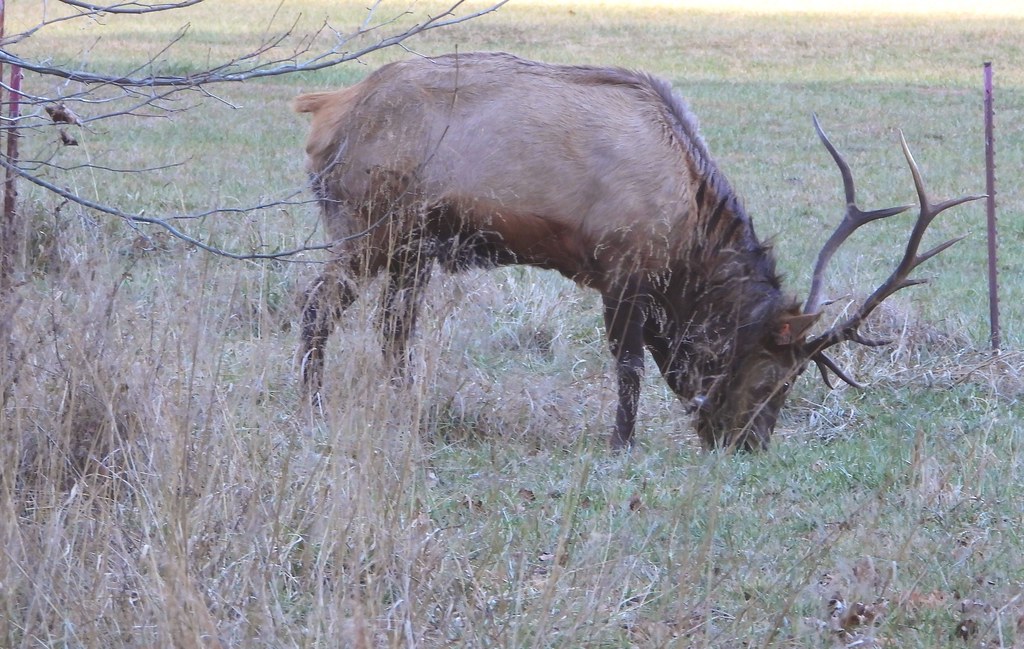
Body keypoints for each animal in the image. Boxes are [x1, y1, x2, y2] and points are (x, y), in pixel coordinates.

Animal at [293, 52, 981, 451]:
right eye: (772, 376)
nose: (748, 444)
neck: (685, 242)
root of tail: (326, 112)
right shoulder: (622, 267)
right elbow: (628, 367)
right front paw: (621, 442)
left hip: (414, 245)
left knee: (394, 329)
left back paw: (406, 407)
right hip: (368, 224)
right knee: (316, 303)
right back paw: (312, 406)